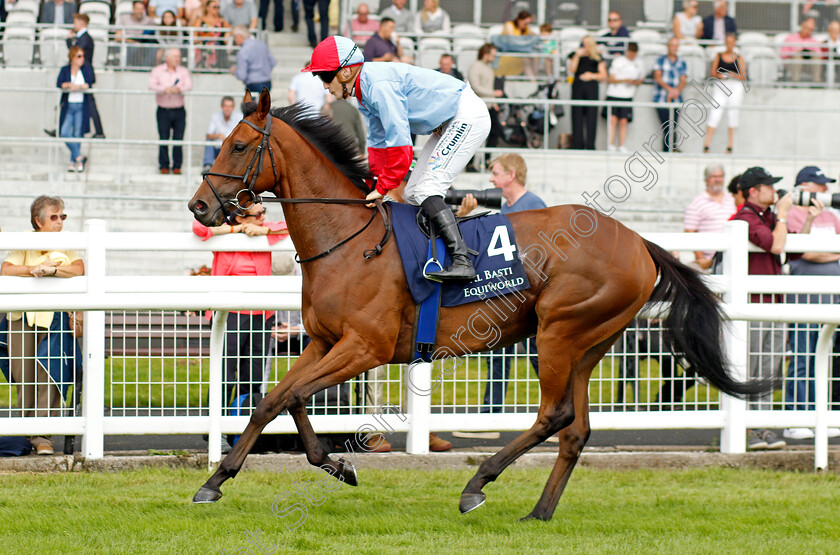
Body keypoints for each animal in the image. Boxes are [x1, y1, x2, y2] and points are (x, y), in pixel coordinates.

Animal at [187, 90, 756, 520]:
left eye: (239, 146)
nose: (198, 206)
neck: (348, 239)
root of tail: (640, 242)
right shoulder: (325, 341)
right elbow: (276, 399)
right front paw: (226, 478)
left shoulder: (366, 348)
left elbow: (289, 396)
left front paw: (325, 465)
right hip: (590, 342)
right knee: (576, 430)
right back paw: (538, 512)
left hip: (557, 332)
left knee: (554, 414)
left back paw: (478, 483)